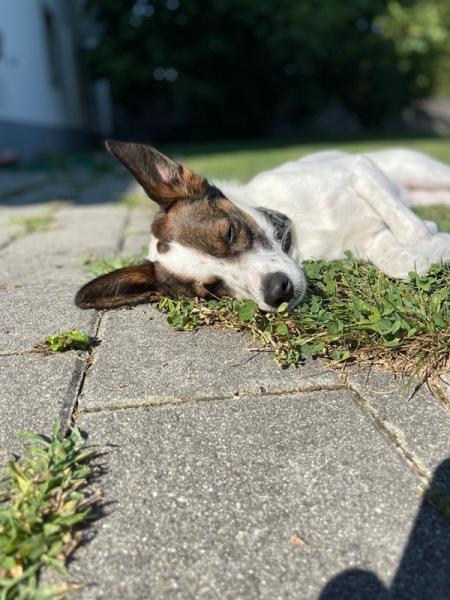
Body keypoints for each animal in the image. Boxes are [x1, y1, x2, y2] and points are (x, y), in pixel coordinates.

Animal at [75, 141, 450, 312]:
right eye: (212, 289)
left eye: (229, 232)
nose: (277, 292)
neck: (296, 234)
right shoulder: (369, 240)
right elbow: (398, 260)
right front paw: (429, 249)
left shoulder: (360, 168)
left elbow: (407, 225)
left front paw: (432, 238)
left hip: (417, 170)